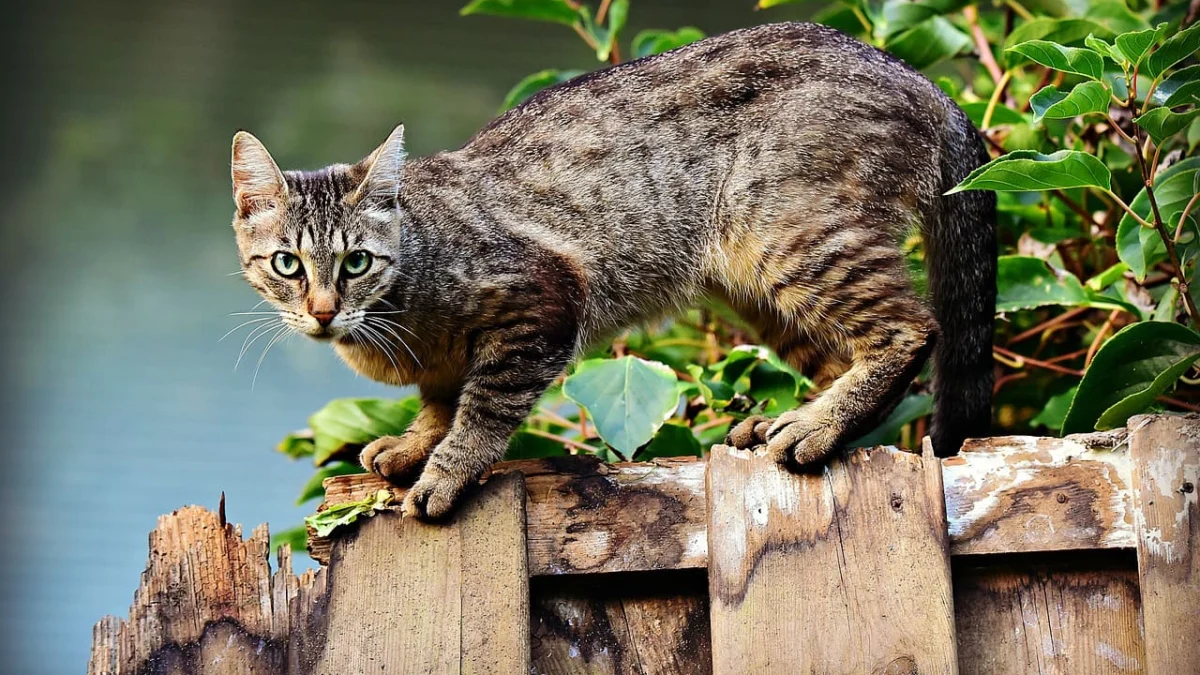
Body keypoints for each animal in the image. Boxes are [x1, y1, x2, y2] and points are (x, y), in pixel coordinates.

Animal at [229, 19, 998, 514]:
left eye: (356, 262)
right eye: (287, 264)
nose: (323, 310)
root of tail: (919, 79)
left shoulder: (543, 303)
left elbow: (482, 407)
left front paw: (446, 470)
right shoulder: (446, 362)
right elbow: (440, 401)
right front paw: (416, 443)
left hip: (794, 235)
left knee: (911, 330)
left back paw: (816, 426)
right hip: (756, 286)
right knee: (844, 356)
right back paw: (792, 418)